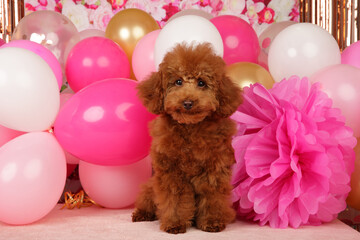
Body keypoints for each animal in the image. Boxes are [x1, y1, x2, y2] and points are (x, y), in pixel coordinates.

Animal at [131, 42, 242, 233]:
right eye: (178, 81)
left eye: (201, 83)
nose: (188, 102)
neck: (190, 128)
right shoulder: (171, 172)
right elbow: (175, 198)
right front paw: (174, 223)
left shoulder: (213, 170)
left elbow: (211, 196)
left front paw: (212, 221)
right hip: (151, 186)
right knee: (147, 198)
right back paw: (142, 214)